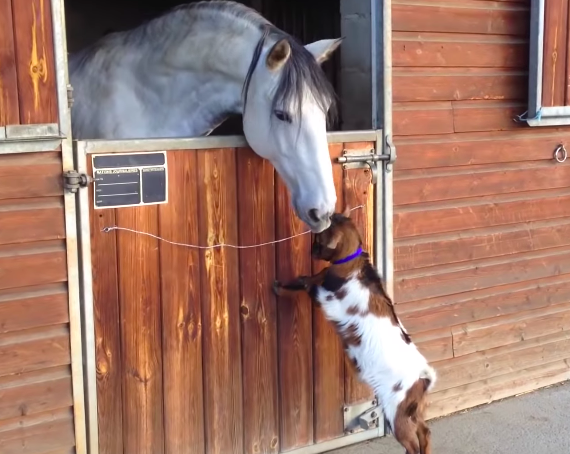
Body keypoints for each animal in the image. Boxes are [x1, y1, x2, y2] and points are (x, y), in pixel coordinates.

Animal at [272, 208, 432, 454]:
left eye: (319, 240)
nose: (311, 250)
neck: (352, 263)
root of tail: (423, 378)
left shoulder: (324, 297)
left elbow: (304, 285)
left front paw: (279, 288)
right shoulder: (321, 279)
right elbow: (305, 279)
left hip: (397, 411)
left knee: (413, 442)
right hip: (411, 410)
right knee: (424, 431)